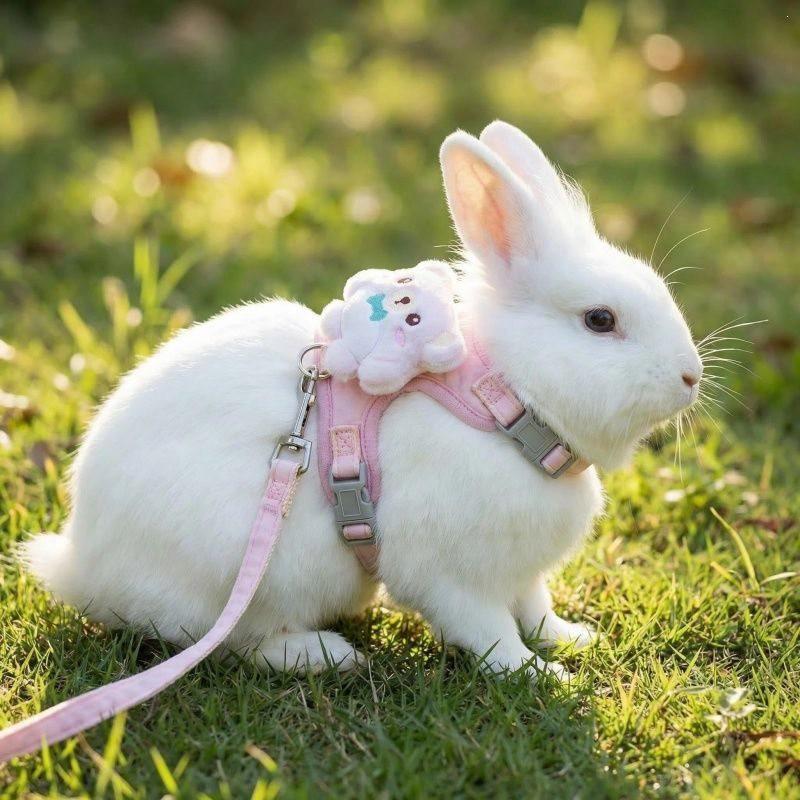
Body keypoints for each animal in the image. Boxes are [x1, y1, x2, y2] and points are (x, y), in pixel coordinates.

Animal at [23, 121, 702, 680]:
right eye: (599, 320)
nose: (692, 376)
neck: (506, 402)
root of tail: (81, 565)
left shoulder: (521, 570)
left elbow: (534, 608)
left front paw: (572, 638)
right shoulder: (450, 573)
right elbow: (488, 632)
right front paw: (539, 674)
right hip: (236, 576)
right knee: (234, 642)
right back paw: (327, 654)